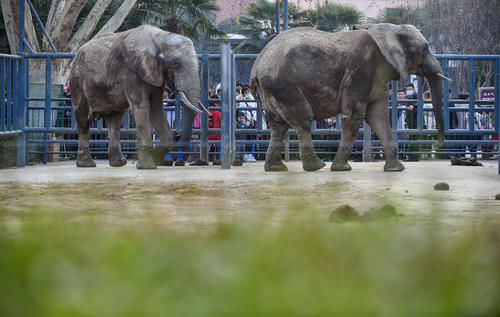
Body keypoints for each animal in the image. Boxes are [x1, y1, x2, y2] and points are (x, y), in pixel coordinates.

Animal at [70, 25, 207, 168]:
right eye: (175, 63)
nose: (177, 134)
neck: (160, 37)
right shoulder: (130, 71)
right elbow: (142, 107)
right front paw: (147, 166)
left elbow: (156, 109)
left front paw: (155, 159)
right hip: (77, 81)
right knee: (83, 119)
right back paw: (87, 164)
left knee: (115, 119)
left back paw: (118, 163)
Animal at [252, 24, 452, 173]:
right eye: (425, 49)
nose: (436, 144)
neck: (391, 29)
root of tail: (256, 66)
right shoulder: (359, 73)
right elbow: (355, 116)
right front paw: (342, 169)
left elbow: (378, 117)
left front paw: (396, 170)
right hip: (284, 85)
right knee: (302, 121)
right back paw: (316, 167)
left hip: (272, 89)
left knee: (278, 126)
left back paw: (276, 168)